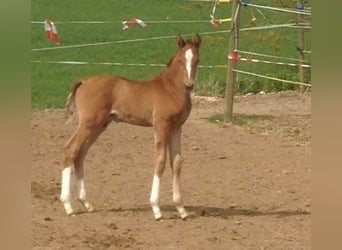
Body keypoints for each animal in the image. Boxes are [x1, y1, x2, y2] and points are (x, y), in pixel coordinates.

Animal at [60, 34, 200, 220]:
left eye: (197, 60)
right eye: (180, 60)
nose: (188, 85)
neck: (171, 88)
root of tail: (84, 81)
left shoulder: (177, 127)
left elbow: (176, 162)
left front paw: (181, 209)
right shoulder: (161, 125)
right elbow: (160, 160)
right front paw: (156, 208)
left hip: (99, 125)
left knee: (80, 153)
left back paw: (87, 203)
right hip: (88, 123)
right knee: (70, 149)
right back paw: (68, 206)